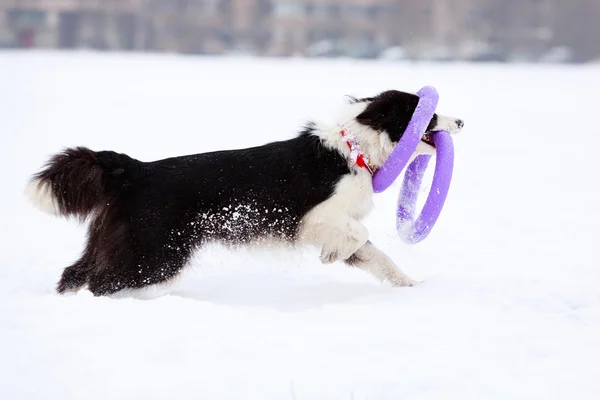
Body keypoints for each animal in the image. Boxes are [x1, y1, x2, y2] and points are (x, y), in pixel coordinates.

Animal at [25, 91, 464, 296]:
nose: (462, 121)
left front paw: (412, 288)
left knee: (75, 272)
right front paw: (331, 256)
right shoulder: (314, 216)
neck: (356, 150)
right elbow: (358, 235)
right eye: (427, 114)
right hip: (155, 250)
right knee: (102, 281)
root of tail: (136, 168)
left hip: (120, 241)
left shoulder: (334, 223)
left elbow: (378, 256)